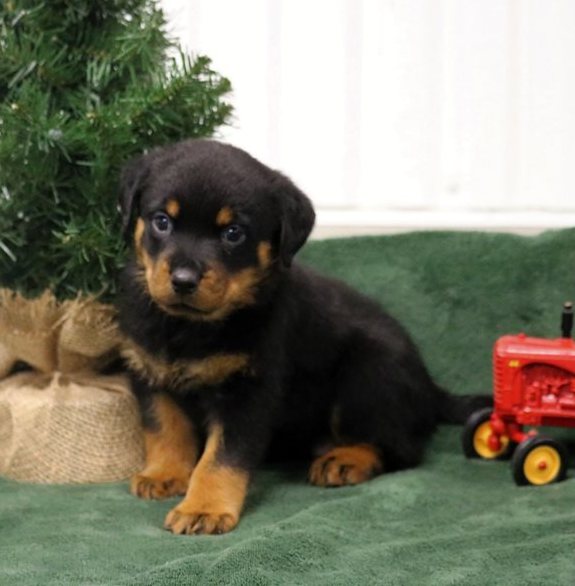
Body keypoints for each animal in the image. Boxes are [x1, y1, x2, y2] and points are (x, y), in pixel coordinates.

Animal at [119, 138, 488, 532]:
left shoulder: (248, 392)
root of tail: (432, 389)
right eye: (162, 221)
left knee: (401, 449)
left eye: (233, 233)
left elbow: (221, 458)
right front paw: (165, 474)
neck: (188, 327)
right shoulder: (150, 372)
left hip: (369, 373)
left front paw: (204, 508)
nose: (183, 281)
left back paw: (345, 461)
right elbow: (165, 430)